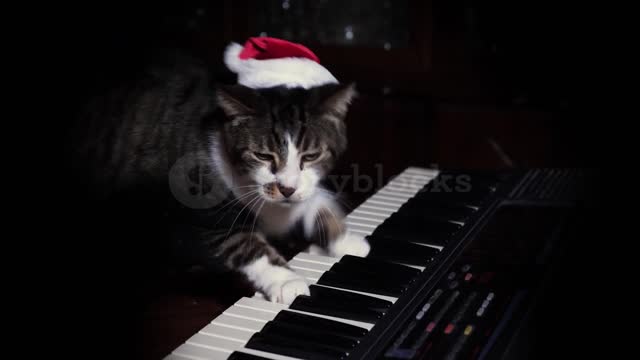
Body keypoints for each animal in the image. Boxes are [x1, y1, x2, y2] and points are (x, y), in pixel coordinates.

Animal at [70, 51, 370, 304]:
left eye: (311, 156)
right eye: (262, 155)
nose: (286, 189)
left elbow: (313, 204)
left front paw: (346, 240)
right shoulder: (192, 218)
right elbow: (244, 244)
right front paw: (287, 280)